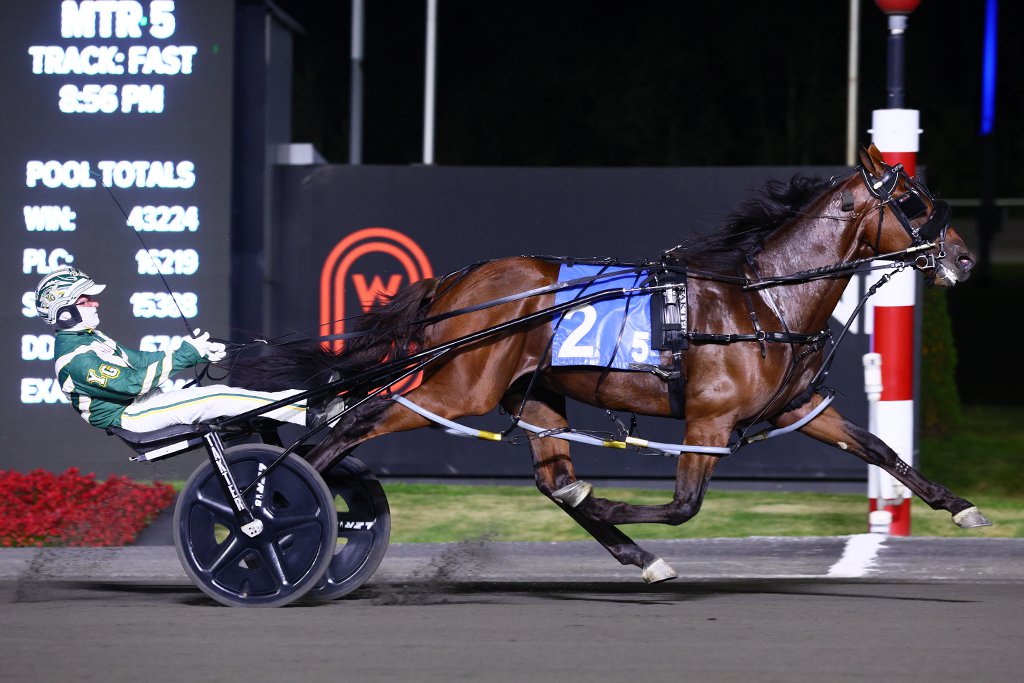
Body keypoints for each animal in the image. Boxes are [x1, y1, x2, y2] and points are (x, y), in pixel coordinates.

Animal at [234, 147, 991, 585]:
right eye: (916, 202)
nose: (963, 256)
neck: (762, 298)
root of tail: (456, 282)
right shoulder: (708, 421)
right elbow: (683, 506)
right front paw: (614, 504)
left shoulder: (801, 408)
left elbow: (881, 449)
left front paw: (962, 507)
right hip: (457, 385)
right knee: (348, 425)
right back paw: (268, 511)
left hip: (533, 394)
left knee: (550, 478)